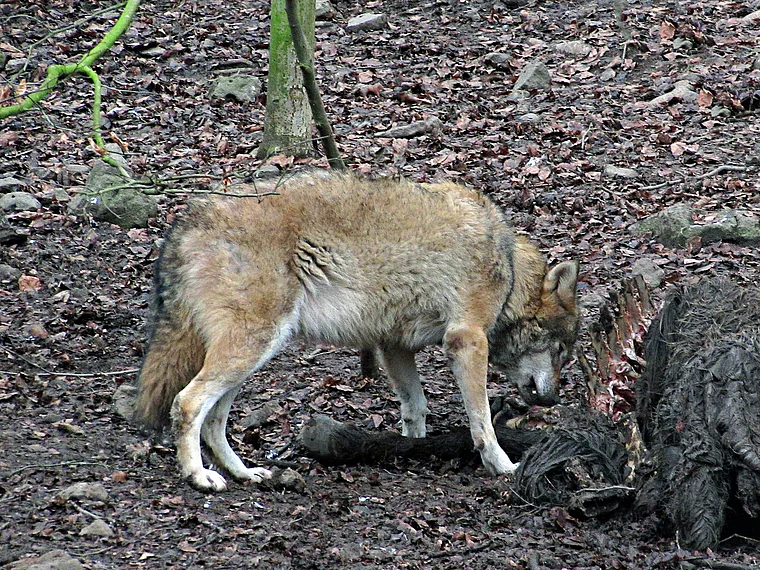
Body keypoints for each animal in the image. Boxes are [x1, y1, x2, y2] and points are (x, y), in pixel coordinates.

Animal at [133, 172, 580, 491]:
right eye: (562, 350)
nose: (555, 399)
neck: (510, 270)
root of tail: (190, 217)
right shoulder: (466, 340)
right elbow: (482, 420)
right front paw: (502, 465)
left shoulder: (394, 345)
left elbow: (415, 408)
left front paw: (411, 449)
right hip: (252, 347)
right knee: (187, 404)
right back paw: (199, 477)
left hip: (250, 357)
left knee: (213, 420)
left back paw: (243, 474)